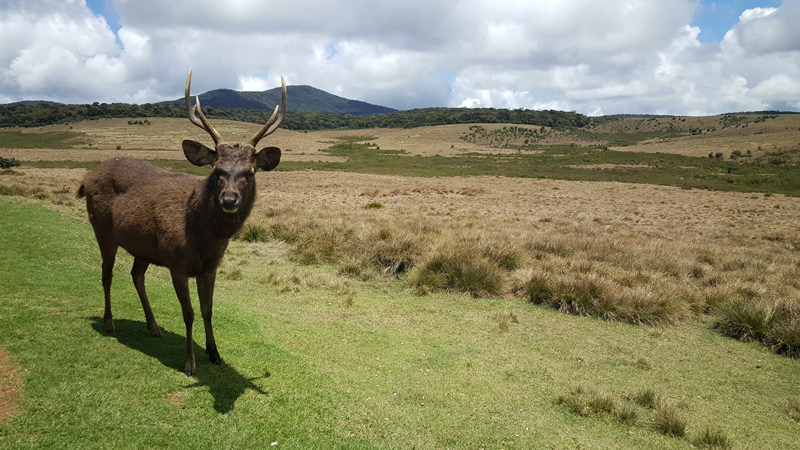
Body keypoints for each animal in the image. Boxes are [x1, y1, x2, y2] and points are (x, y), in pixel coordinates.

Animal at [79, 68, 286, 374]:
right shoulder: (176, 262)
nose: (229, 200)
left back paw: (153, 327)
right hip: (102, 228)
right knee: (107, 274)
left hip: (143, 246)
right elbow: (188, 313)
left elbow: (207, 310)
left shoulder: (209, 267)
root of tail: (86, 178)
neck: (202, 236)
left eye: (249, 172)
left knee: (136, 275)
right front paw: (190, 362)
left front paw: (215, 354)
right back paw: (109, 322)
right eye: (217, 170)